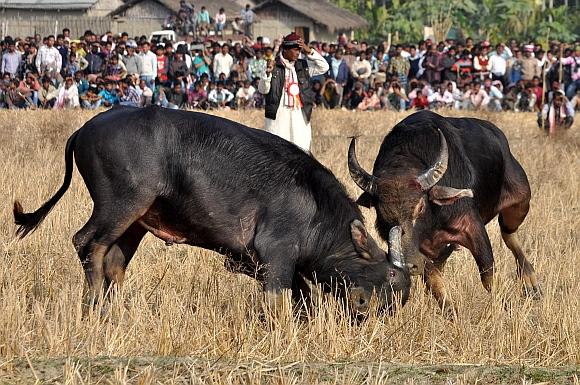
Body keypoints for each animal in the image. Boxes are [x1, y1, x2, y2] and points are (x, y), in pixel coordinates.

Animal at [15, 106, 410, 316]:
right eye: (389, 277)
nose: (365, 310)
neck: (313, 205)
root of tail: (85, 128)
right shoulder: (276, 257)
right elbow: (279, 300)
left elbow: (305, 299)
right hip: (120, 205)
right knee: (88, 244)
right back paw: (94, 306)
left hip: (135, 222)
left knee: (114, 260)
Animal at [346, 109, 540, 314]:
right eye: (383, 213)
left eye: (420, 207)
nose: (407, 264)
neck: (432, 221)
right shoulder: (421, 253)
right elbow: (433, 278)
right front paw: (449, 309)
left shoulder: (471, 225)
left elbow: (487, 272)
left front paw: (505, 305)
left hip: (520, 201)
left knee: (509, 234)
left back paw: (531, 283)